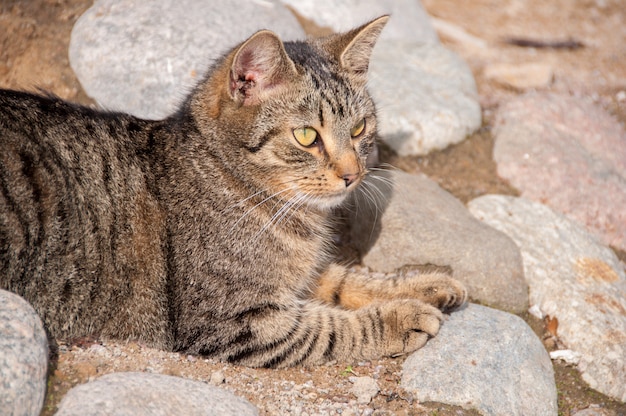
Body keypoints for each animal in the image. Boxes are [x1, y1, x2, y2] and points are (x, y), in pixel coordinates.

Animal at [0, 15, 464, 368]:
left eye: (359, 129)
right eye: (307, 136)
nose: (354, 174)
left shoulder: (300, 276)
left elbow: (345, 277)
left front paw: (421, 283)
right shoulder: (235, 321)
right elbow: (328, 328)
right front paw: (399, 317)